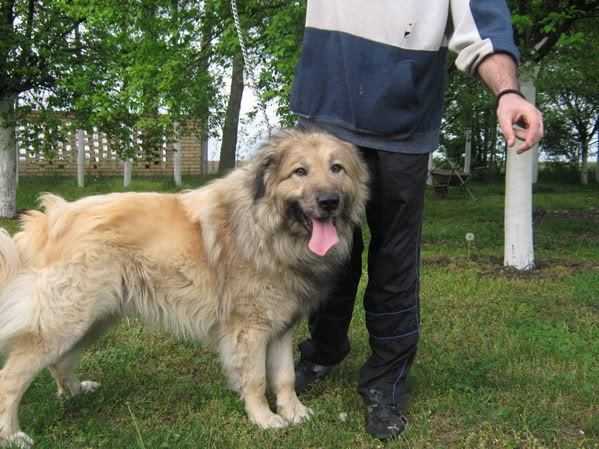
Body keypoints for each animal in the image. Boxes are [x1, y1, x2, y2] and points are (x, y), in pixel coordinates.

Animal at [0, 128, 370, 446]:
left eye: (336, 168)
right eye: (300, 172)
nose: (329, 201)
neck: (267, 229)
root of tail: (51, 218)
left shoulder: (280, 328)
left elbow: (284, 376)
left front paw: (294, 412)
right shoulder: (250, 330)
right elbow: (255, 378)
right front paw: (264, 419)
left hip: (94, 319)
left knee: (60, 362)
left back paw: (76, 392)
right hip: (67, 320)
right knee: (11, 378)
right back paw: (13, 435)